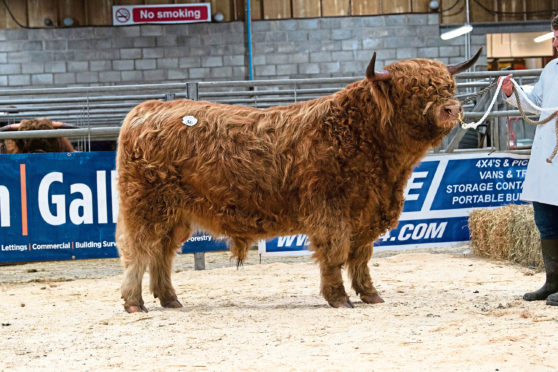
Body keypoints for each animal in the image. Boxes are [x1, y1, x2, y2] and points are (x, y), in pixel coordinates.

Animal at [116, 48, 484, 310]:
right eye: (412, 89)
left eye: (449, 86)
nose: (452, 109)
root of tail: (146, 110)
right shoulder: (330, 210)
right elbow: (335, 253)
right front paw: (339, 297)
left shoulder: (366, 213)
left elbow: (361, 256)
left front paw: (369, 294)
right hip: (145, 206)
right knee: (139, 250)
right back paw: (135, 303)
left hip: (174, 214)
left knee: (162, 253)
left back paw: (169, 299)